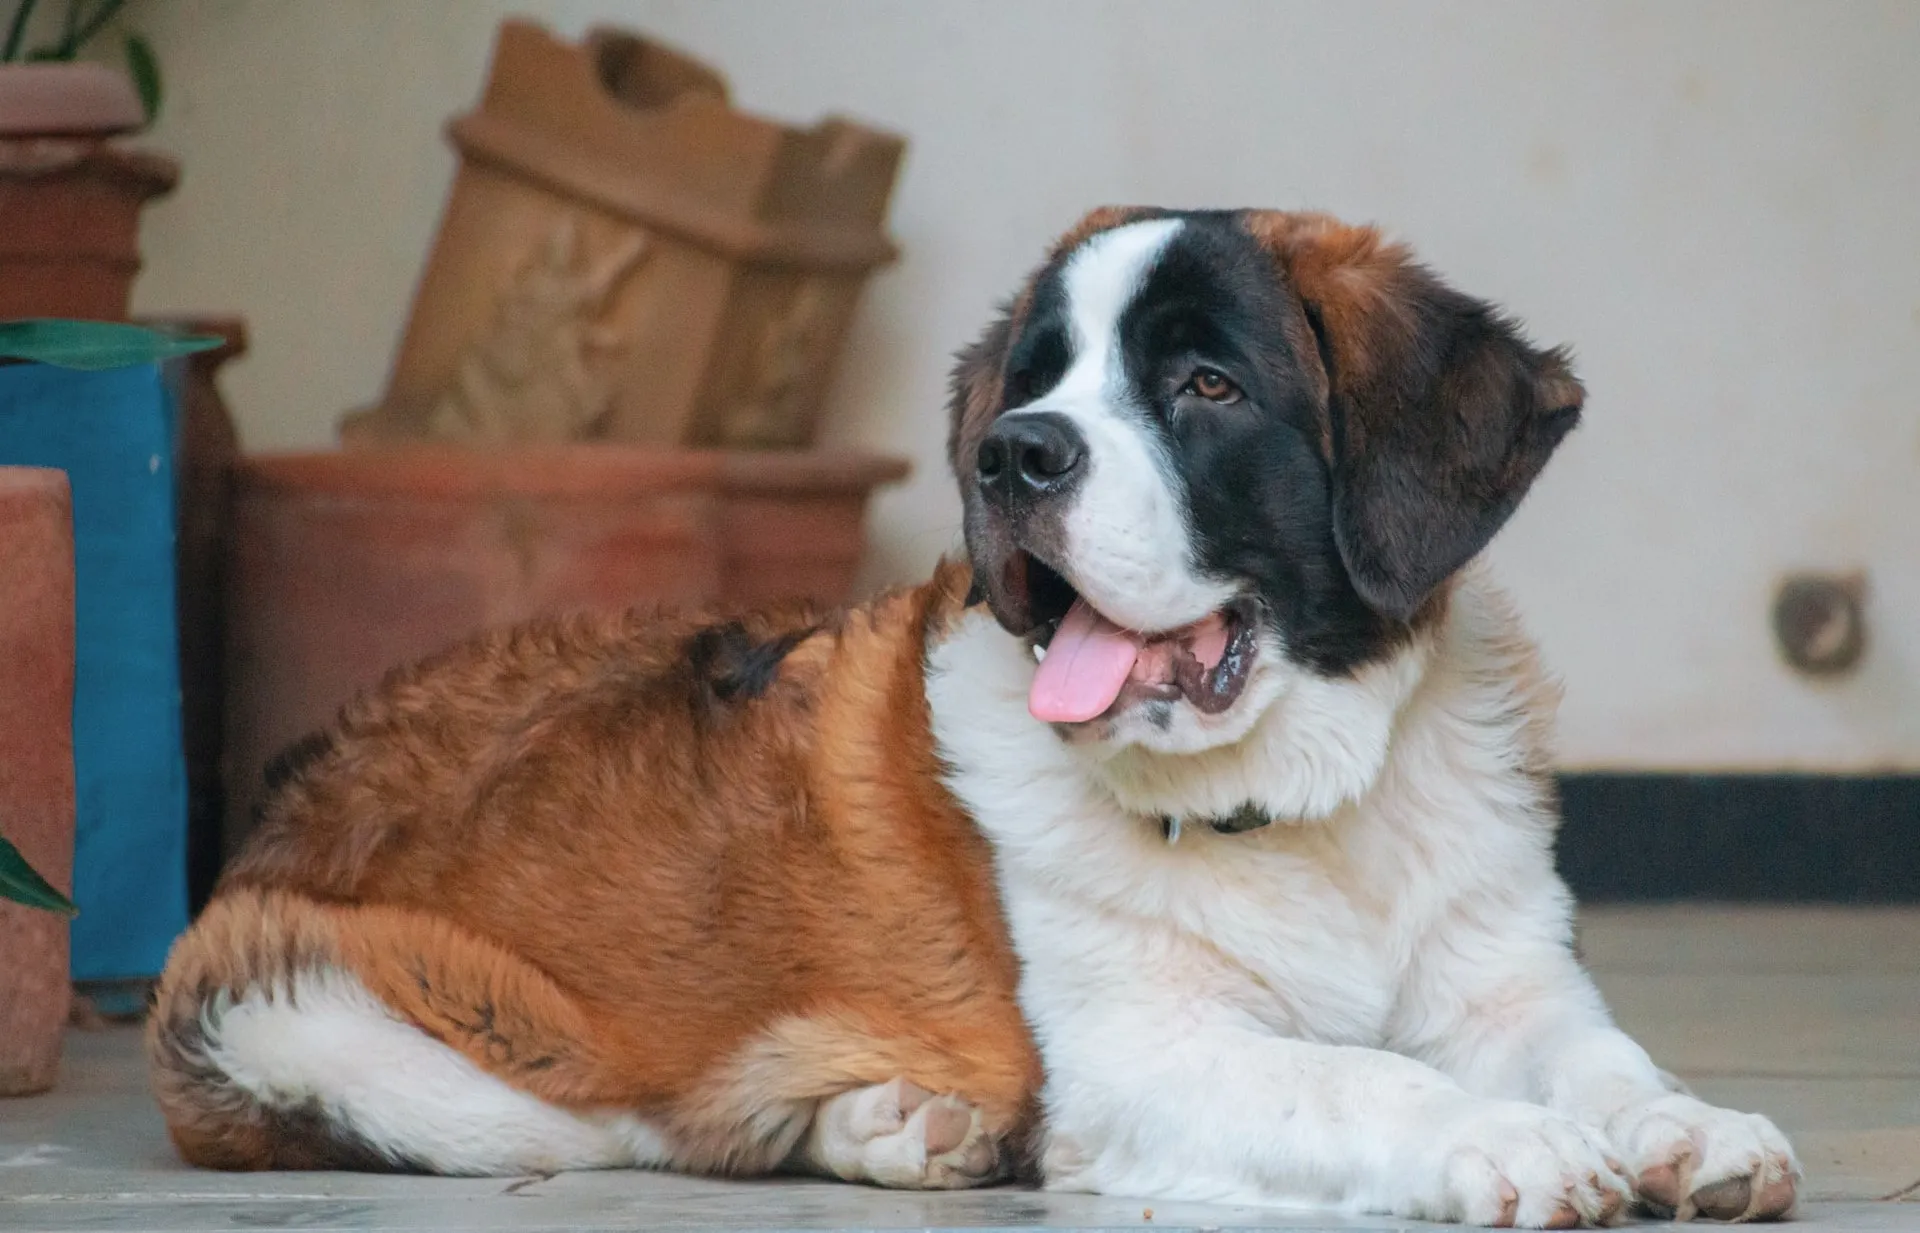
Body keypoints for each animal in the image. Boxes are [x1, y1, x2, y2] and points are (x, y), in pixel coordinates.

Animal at [149, 209, 1797, 1221]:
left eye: (1206, 385)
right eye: (1035, 382)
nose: (1016, 455)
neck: (1309, 804)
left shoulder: (1510, 987)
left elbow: (1601, 1057)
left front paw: (1690, 1129)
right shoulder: (1145, 1058)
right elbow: (1357, 1075)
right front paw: (1497, 1141)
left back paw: (907, 1123)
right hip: (323, 1026)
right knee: (634, 1118)